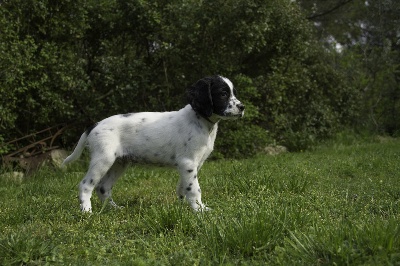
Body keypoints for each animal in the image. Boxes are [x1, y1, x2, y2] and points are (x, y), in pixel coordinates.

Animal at [62, 75, 244, 212]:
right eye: (223, 94)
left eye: (234, 93)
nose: (242, 107)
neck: (201, 120)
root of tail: (95, 125)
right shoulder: (188, 162)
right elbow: (194, 188)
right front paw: (199, 210)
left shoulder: (192, 165)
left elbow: (184, 186)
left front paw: (182, 205)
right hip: (103, 159)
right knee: (86, 185)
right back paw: (87, 212)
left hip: (119, 163)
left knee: (103, 188)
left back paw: (114, 209)